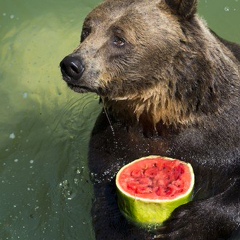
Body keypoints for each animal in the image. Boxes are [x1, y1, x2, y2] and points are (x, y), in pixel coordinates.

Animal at [59, 0, 240, 239]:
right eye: (87, 30)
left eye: (119, 38)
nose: (71, 65)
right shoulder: (112, 142)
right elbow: (105, 204)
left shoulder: (221, 139)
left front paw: (186, 224)